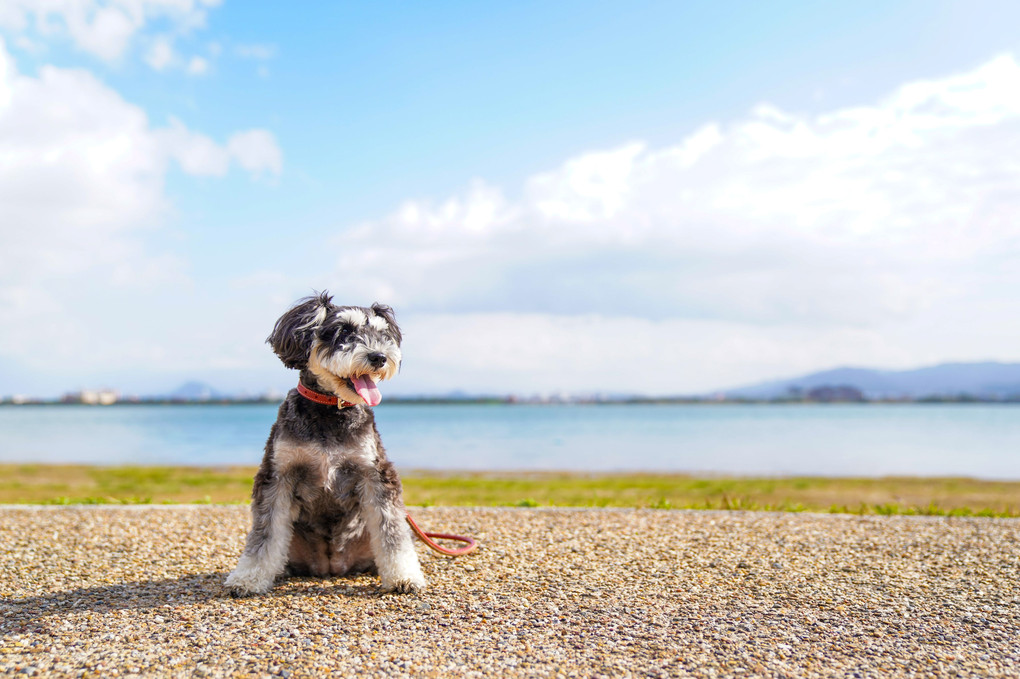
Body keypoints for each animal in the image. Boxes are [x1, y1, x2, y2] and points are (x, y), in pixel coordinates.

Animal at [224, 291, 426, 591]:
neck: (330, 408)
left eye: (382, 334)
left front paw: (405, 576)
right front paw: (247, 578)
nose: (379, 357)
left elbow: (392, 532)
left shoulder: (375, 473)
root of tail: (331, 566)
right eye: (342, 331)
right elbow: (264, 534)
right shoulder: (277, 475)